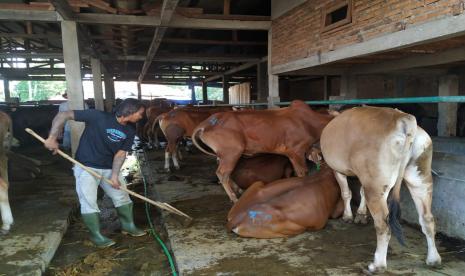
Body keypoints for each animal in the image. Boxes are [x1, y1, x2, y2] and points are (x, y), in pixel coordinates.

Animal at [192, 100, 334, 202]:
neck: (310, 122)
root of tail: (206, 123)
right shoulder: (296, 151)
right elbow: (302, 172)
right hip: (232, 152)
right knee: (222, 173)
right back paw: (234, 198)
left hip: (225, 155)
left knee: (225, 173)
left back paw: (238, 190)